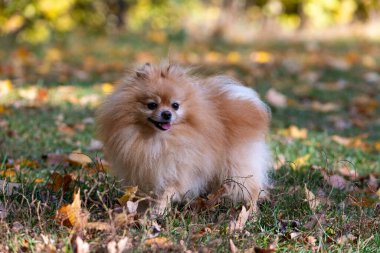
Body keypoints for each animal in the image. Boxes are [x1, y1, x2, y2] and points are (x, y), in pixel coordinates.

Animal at [96, 63, 272, 213]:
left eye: (175, 105)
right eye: (152, 105)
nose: (167, 114)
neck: (158, 141)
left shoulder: (180, 170)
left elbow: (168, 191)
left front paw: (159, 211)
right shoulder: (145, 173)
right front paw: (142, 211)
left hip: (238, 169)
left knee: (252, 189)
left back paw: (251, 212)